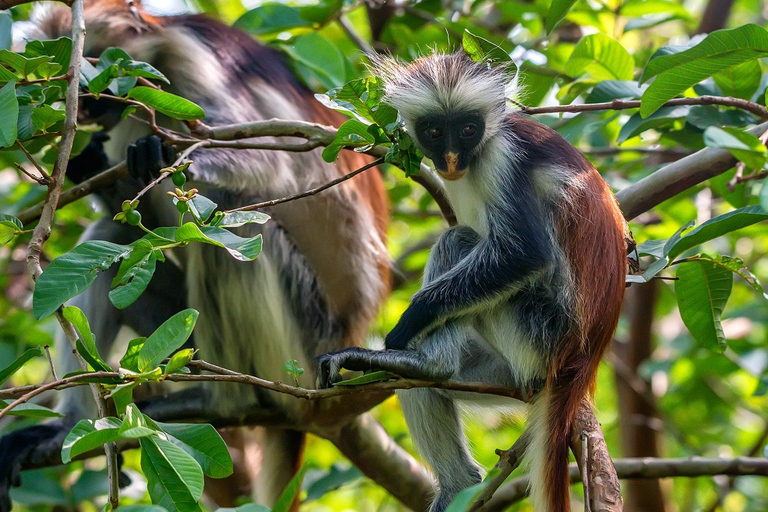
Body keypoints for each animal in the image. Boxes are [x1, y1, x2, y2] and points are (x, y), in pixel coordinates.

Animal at [0, 2, 388, 510]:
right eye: (77, 97)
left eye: (98, 83)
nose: (87, 113)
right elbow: (131, 222)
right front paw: (89, 164)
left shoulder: (188, 58)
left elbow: (269, 163)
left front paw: (161, 154)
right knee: (113, 242)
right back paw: (72, 426)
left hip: (305, 342)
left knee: (231, 219)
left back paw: (221, 403)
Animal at [316, 53, 628, 512]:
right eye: (434, 131)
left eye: (468, 129)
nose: (448, 159)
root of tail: (581, 361)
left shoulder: (504, 158)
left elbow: (524, 254)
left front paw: (411, 319)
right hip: (504, 373)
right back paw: (455, 480)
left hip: (537, 332)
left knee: (459, 241)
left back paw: (426, 363)